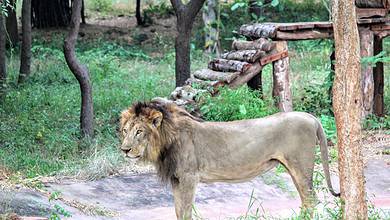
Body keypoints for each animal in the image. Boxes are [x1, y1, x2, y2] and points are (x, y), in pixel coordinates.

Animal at [118, 100, 338, 219]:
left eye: (139, 132)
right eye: (125, 130)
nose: (124, 150)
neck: (166, 141)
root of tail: (311, 117)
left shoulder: (189, 177)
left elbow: (186, 211)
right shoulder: (176, 179)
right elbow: (178, 211)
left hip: (300, 165)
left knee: (311, 198)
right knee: (306, 199)